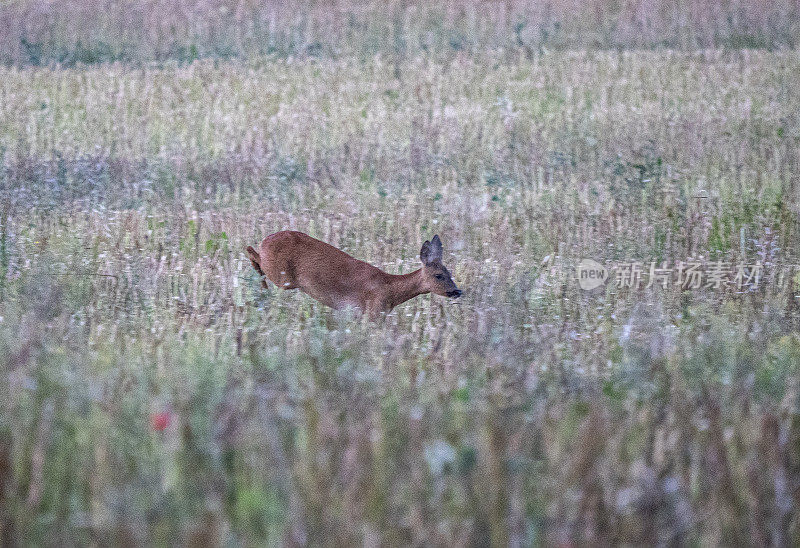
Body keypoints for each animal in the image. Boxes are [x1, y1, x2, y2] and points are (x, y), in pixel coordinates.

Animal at [248, 230, 462, 316]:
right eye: (438, 275)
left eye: (450, 272)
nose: (457, 291)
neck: (390, 289)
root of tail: (266, 240)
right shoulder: (373, 311)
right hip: (283, 277)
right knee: (251, 251)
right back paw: (263, 289)